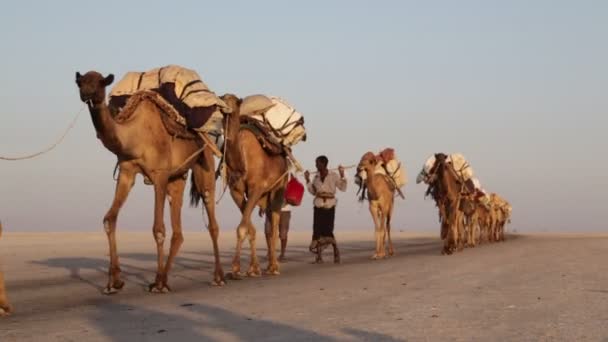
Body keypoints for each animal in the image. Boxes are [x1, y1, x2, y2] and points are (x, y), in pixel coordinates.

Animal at [75, 71, 224, 292]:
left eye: (99, 83)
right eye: (81, 82)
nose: (85, 94)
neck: (135, 136)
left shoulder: (159, 174)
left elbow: (158, 229)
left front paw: (158, 284)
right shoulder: (127, 172)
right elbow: (109, 219)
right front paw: (114, 282)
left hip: (203, 162)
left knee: (211, 217)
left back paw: (217, 277)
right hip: (177, 177)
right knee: (178, 230)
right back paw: (165, 278)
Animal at [217, 93, 288, 278]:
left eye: (235, 101)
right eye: (222, 98)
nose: (225, 108)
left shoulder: (257, 188)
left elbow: (243, 228)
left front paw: (236, 268)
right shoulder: (236, 191)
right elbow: (249, 228)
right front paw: (252, 268)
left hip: (279, 187)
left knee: (275, 224)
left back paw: (274, 266)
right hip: (266, 195)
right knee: (269, 227)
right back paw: (269, 265)